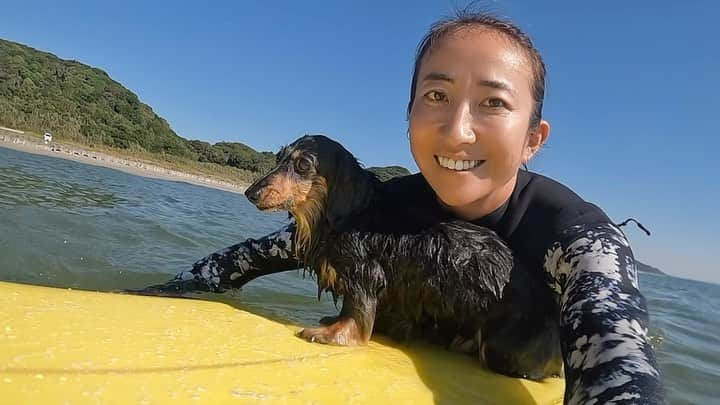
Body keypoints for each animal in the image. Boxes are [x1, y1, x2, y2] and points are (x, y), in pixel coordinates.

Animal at [243, 135, 564, 378]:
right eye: (279, 158)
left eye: (302, 164)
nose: (250, 193)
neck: (353, 214)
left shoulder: (366, 276)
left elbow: (356, 314)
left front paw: (334, 335)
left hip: (500, 348)